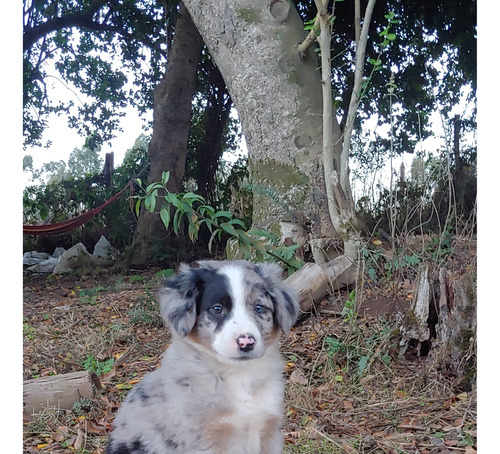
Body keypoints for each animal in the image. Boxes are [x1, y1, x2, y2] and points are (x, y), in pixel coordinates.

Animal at [105, 258, 298, 454]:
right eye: (217, 309)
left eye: (259, 308)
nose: (246, 343)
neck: (239, 374)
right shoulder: (203, 442)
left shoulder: (270, 430)